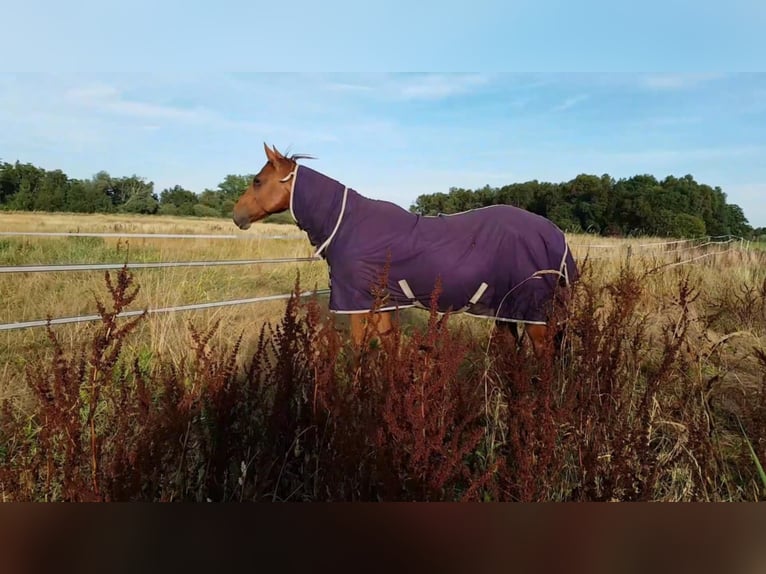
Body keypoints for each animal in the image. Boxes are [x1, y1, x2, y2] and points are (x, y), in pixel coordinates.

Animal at [231, 144, 580, 356]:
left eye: (258, 180)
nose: (237, 216)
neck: (349, 224)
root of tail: (556, 235)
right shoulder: (383, 303)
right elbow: (388, 349)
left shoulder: (356, 302)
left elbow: (360, 349)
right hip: (508, 310)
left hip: (534, 315)